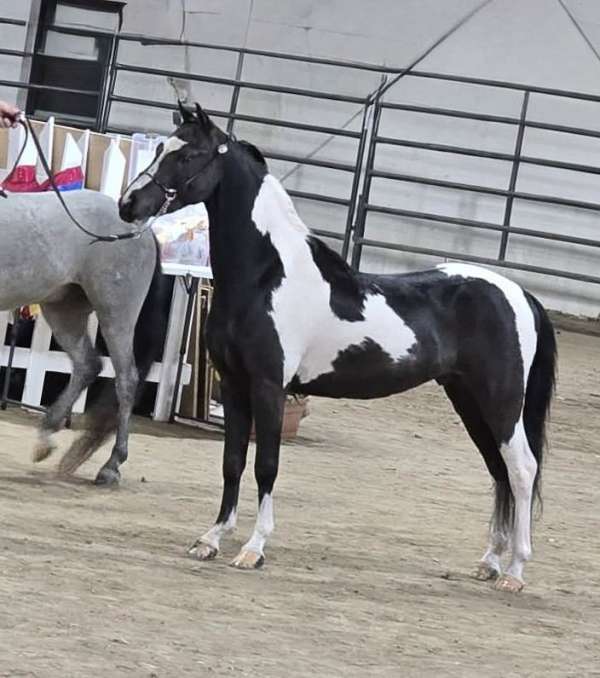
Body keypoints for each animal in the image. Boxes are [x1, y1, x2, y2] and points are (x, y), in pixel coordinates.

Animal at [0, 189, 167, 484]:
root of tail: (141, 229)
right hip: (64, 310)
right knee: (88, 365)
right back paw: (46, 438)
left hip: (116, 315)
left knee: (126, 379)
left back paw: (111, 467)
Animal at [119, 103, 557, 593]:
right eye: (162, 147)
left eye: (189, 155)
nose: (128, 205)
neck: (267, 276)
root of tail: (520, 294)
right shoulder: (232, 384)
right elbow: (232, 461)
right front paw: (211, 539)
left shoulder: (268, 386)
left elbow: (266, 464)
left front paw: (253, 549)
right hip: (468, 399)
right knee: (498, 469)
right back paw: (490, 561)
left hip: (501, 400)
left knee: (521, 469)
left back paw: (515, 571)